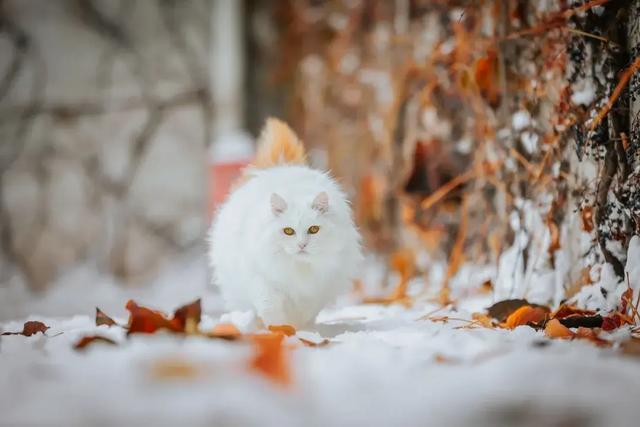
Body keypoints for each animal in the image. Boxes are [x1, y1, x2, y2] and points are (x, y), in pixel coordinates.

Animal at [209, 118, 362, 330]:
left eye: (313, 229)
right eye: (288, 231)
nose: (302, 245)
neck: (299, 269)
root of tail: (280, 167)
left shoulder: (318, 288)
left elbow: (307, 310)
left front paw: (299, 328)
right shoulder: (263, 281)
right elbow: (271, 309)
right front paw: (280, 330)